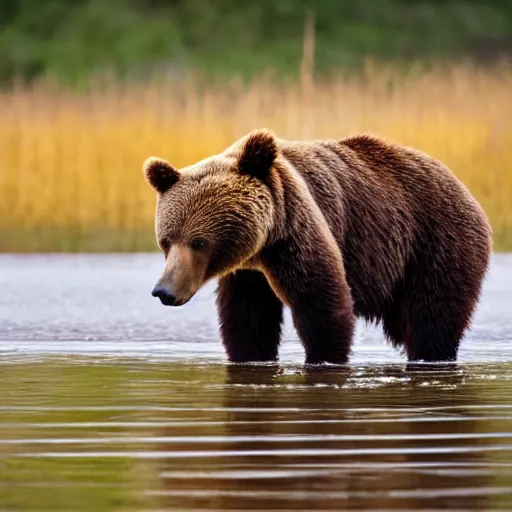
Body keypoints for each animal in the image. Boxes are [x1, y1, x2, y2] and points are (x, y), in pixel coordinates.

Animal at [143, 130, 492, 366]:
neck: (263, 246)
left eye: (198, 242)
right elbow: (247, 321)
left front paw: (324, 356)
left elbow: (321, 301)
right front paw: (250, 354)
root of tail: (465, 190)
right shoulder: (247, 275)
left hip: (436, 241)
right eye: (166, 241)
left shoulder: (298, 229)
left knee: (433, 318)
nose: (164, 291)